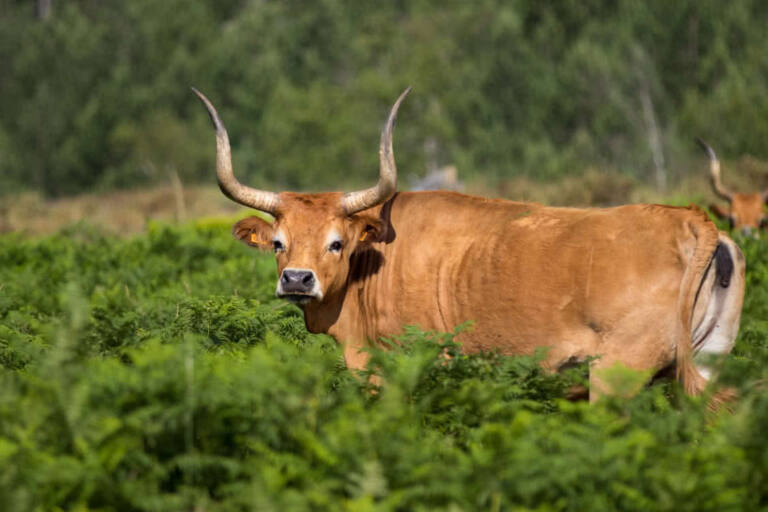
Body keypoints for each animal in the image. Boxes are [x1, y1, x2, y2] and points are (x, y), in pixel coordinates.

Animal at [193, 88, 745, 401]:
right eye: (278, 242)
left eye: (336, 243)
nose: (297, 279)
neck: (376, 266)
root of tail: (688, 218)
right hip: (706, 364)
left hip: (616, 376)